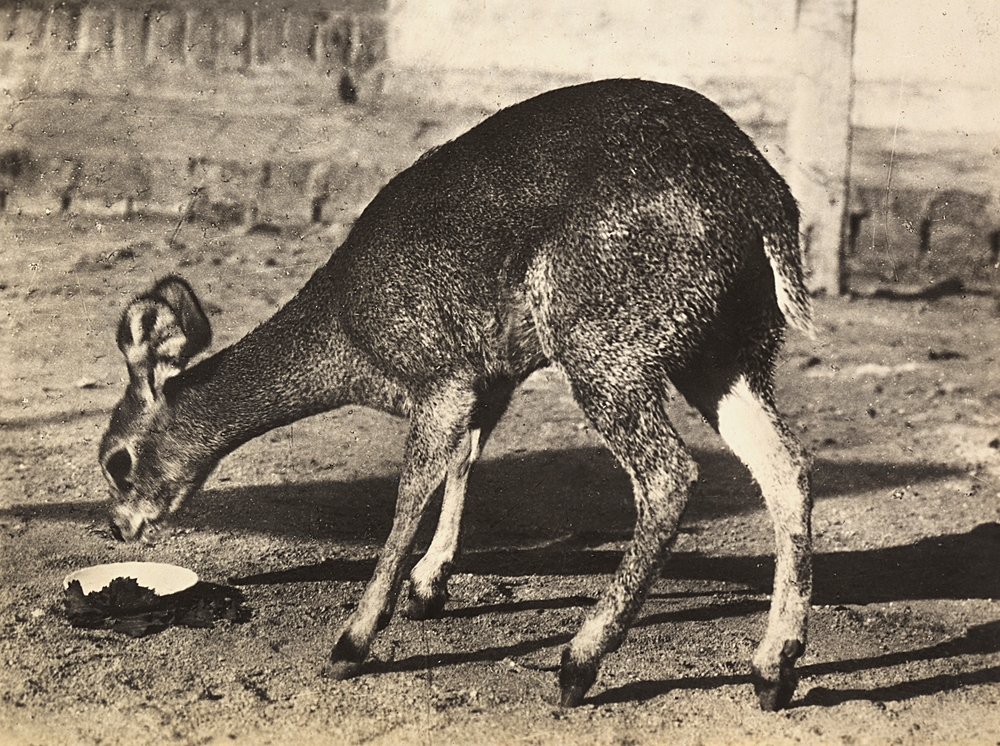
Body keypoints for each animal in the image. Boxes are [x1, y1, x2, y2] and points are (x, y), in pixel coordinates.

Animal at [100, 79, 814, 710]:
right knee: (786, 466)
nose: (116, 525)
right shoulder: (489, 378)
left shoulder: (440, 376)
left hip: (605, 345)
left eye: (116, 461)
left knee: (670, 474)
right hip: (730, 349)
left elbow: (410, 491)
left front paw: (352, 641)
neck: (349, 334)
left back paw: (578, 663)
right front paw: (429, 584)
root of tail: (761, 198)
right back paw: (772, 669)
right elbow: (463, 462)